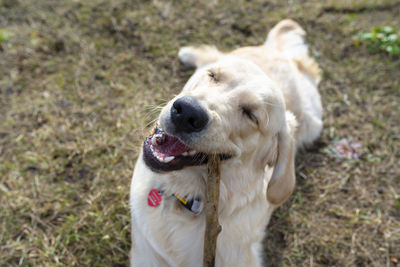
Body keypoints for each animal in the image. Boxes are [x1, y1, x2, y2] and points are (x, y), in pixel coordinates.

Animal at [130, 19, 324, 266]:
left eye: (251, 114)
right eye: (213, 76)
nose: (187, 112)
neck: (185, 198)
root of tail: (281, 54)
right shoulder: (145, 253)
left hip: (312, 123)